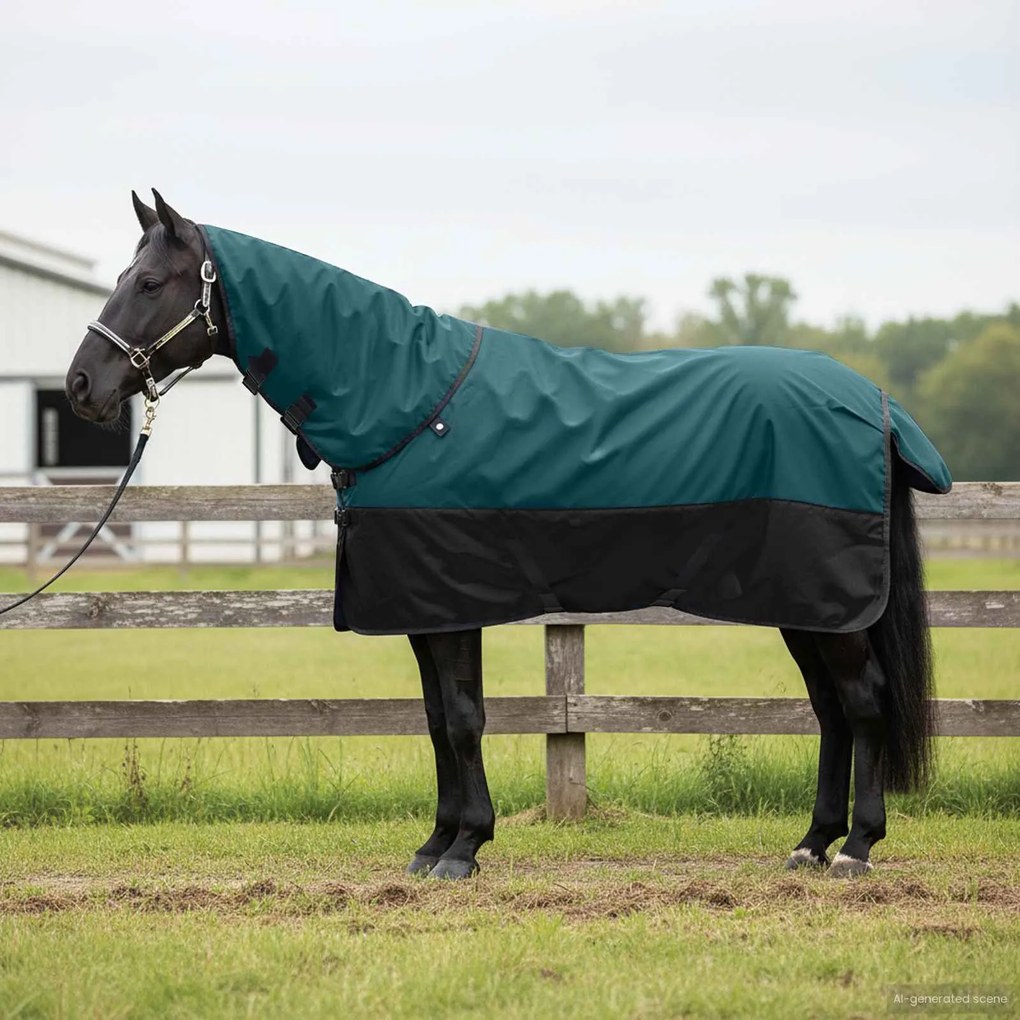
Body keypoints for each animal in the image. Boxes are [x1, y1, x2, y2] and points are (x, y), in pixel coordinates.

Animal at [65, 190, 950, 880]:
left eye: (149, 282)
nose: (81, 385)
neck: (407, 402)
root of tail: (874, 403)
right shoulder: (423, 609)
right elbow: (435, 720)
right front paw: (435, 845)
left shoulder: (451, 604)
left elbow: (462, 719)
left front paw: (464, 850)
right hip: (806, 606)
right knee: (832, 711)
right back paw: (810, 844)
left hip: (827, 604)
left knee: (862, 703)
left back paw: (856, 849)